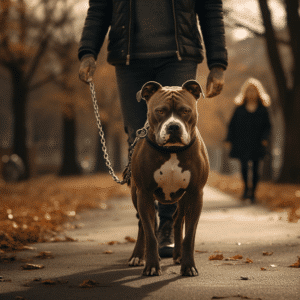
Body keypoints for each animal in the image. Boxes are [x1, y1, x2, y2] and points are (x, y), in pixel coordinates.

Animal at [127, 80, 210, 276]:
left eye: (186, 111)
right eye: (160, 111)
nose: (173, 126)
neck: (172, 150)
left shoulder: (196, 194)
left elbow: (190, 235)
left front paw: (188, 266)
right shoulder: (144, 193)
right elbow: (150, 234)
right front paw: (151, 265)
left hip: (184, 198)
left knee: (178, 221)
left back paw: (178, 255)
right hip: (136, 195)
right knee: (143, 224)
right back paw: (138, 256)